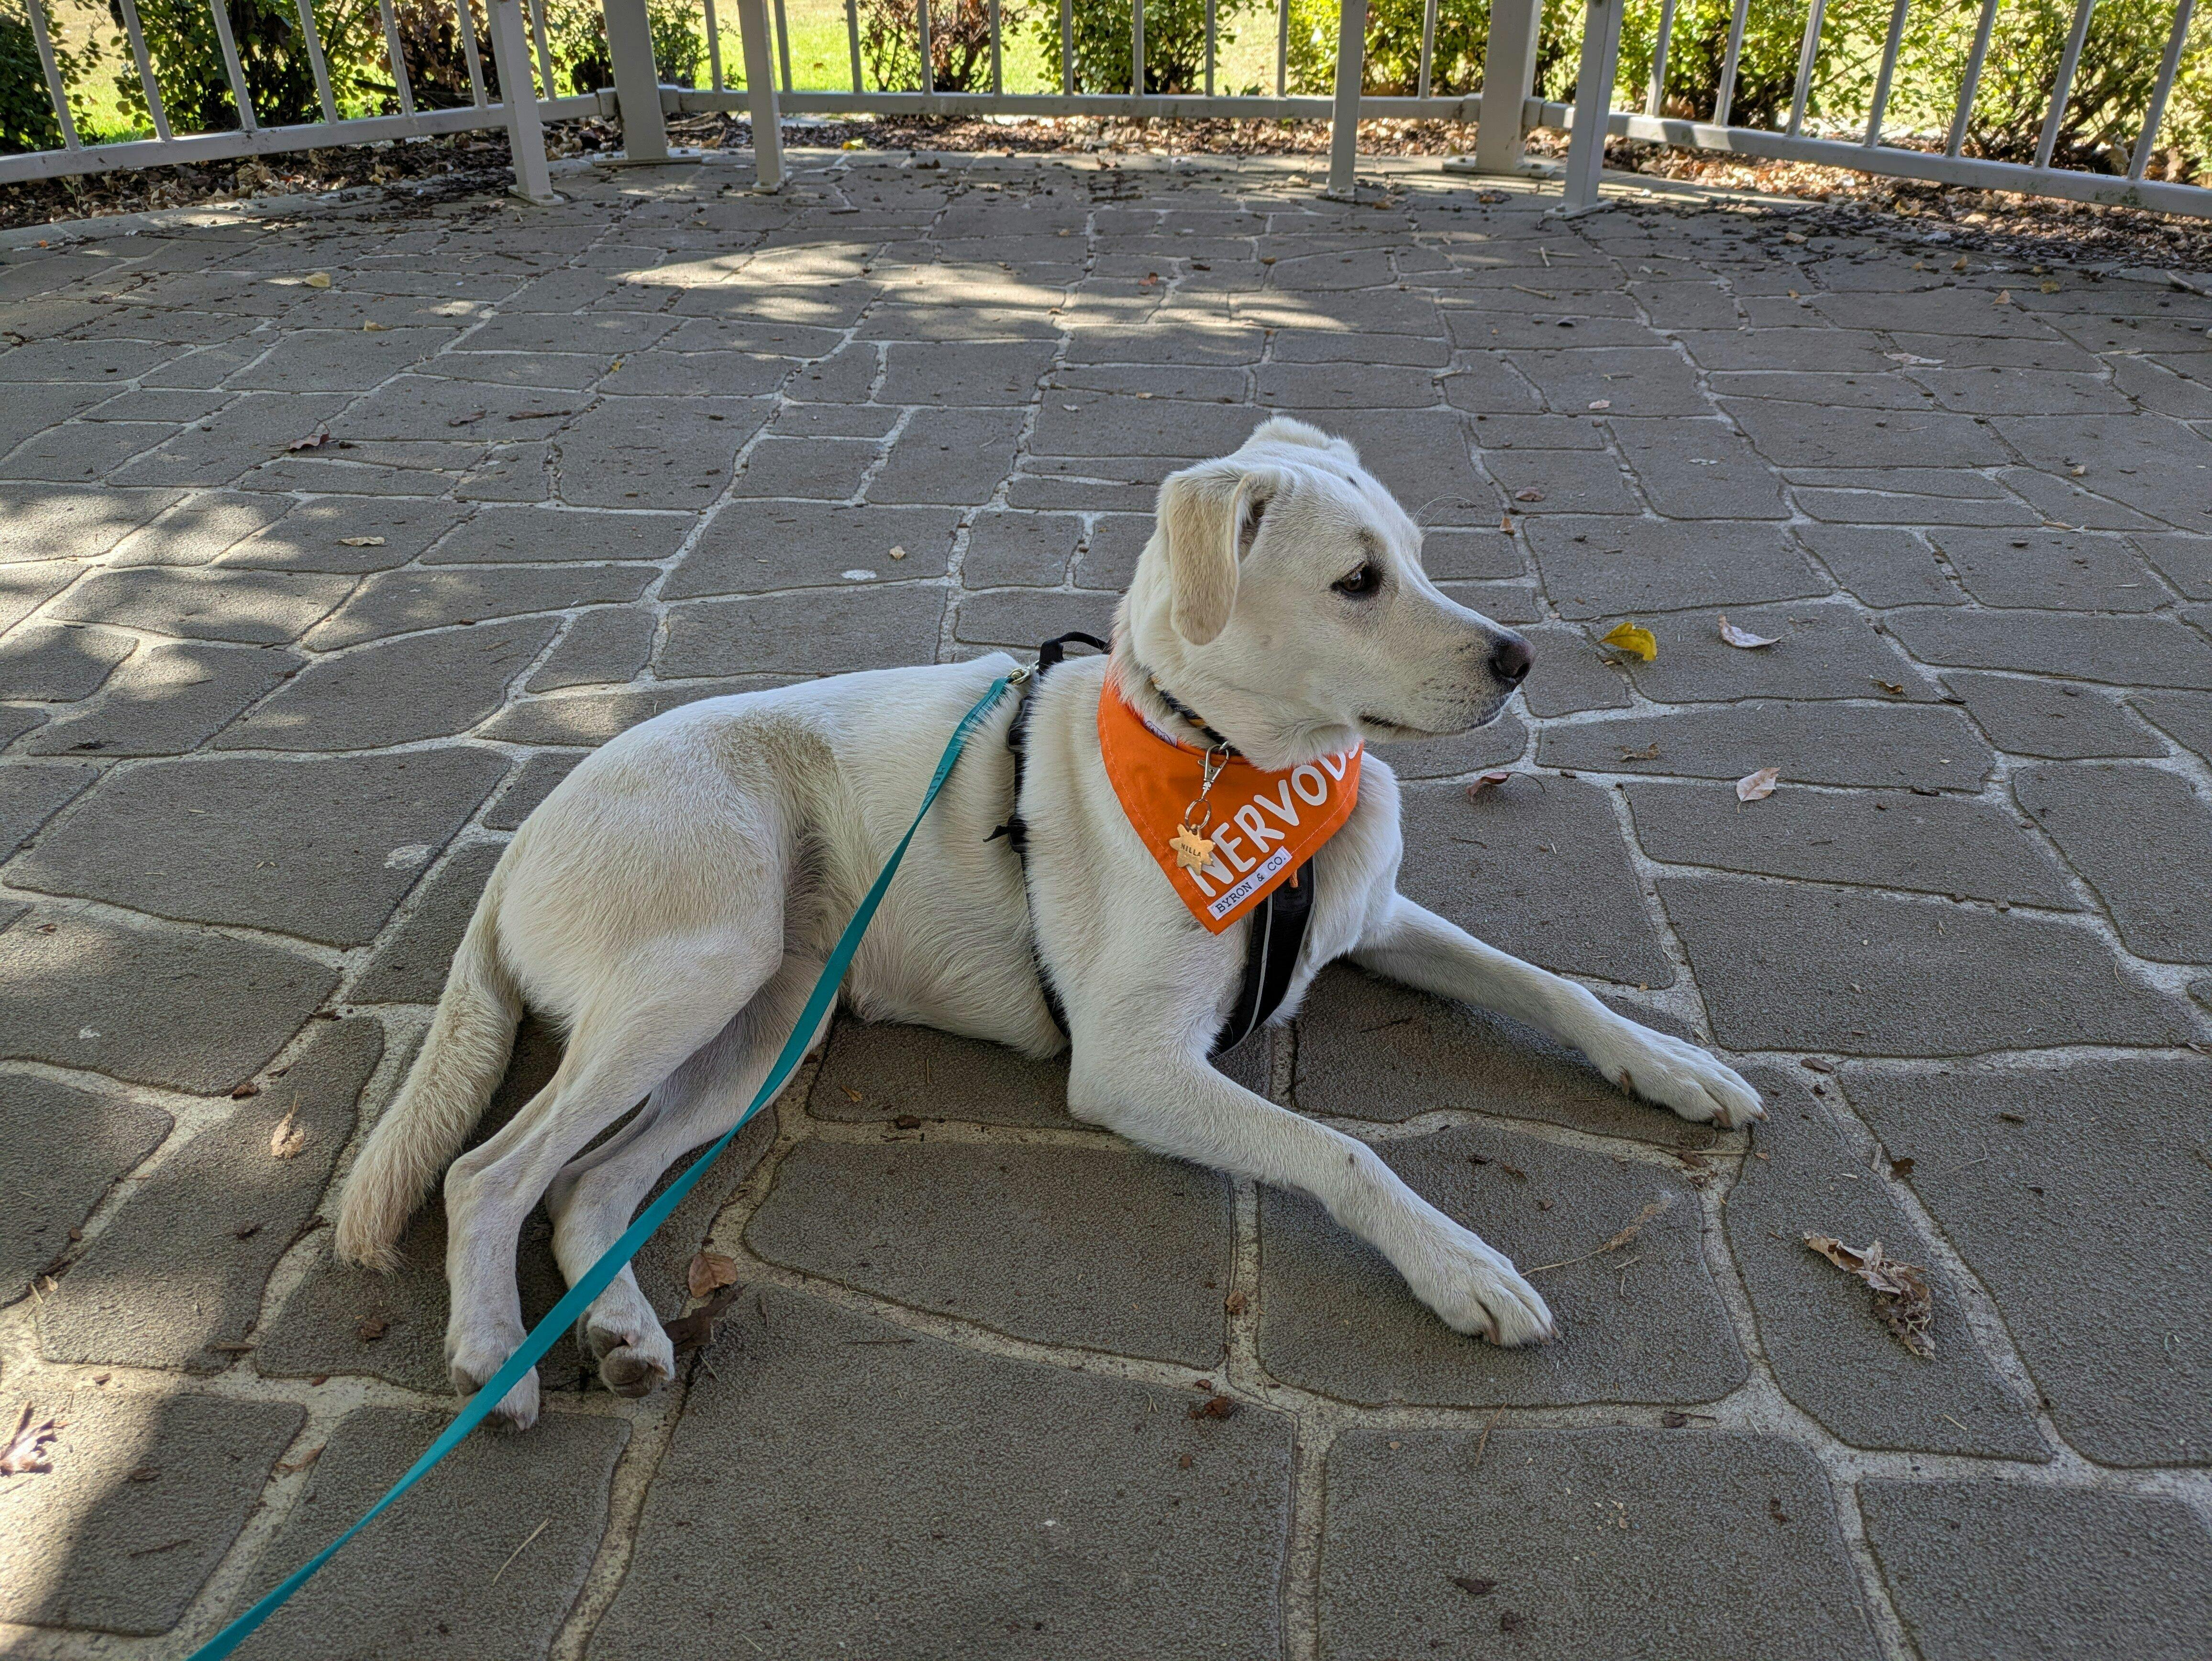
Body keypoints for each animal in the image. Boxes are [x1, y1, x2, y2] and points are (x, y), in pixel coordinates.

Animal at [333, 417, 1764, 1429]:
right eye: (1357, 581)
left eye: (1418, 554)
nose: (1521, 660)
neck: (1230, 766)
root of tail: (520, 842)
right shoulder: (1130, 1066)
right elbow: (1345, 1152)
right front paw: (1457, 1263)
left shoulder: (1381, 916)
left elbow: (1551, 986)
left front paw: (1673, 1067)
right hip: (700, 973)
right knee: (489, 1173)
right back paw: (490, 1353)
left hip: (764, 1027)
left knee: (586, 1192)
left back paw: (624, 1334)